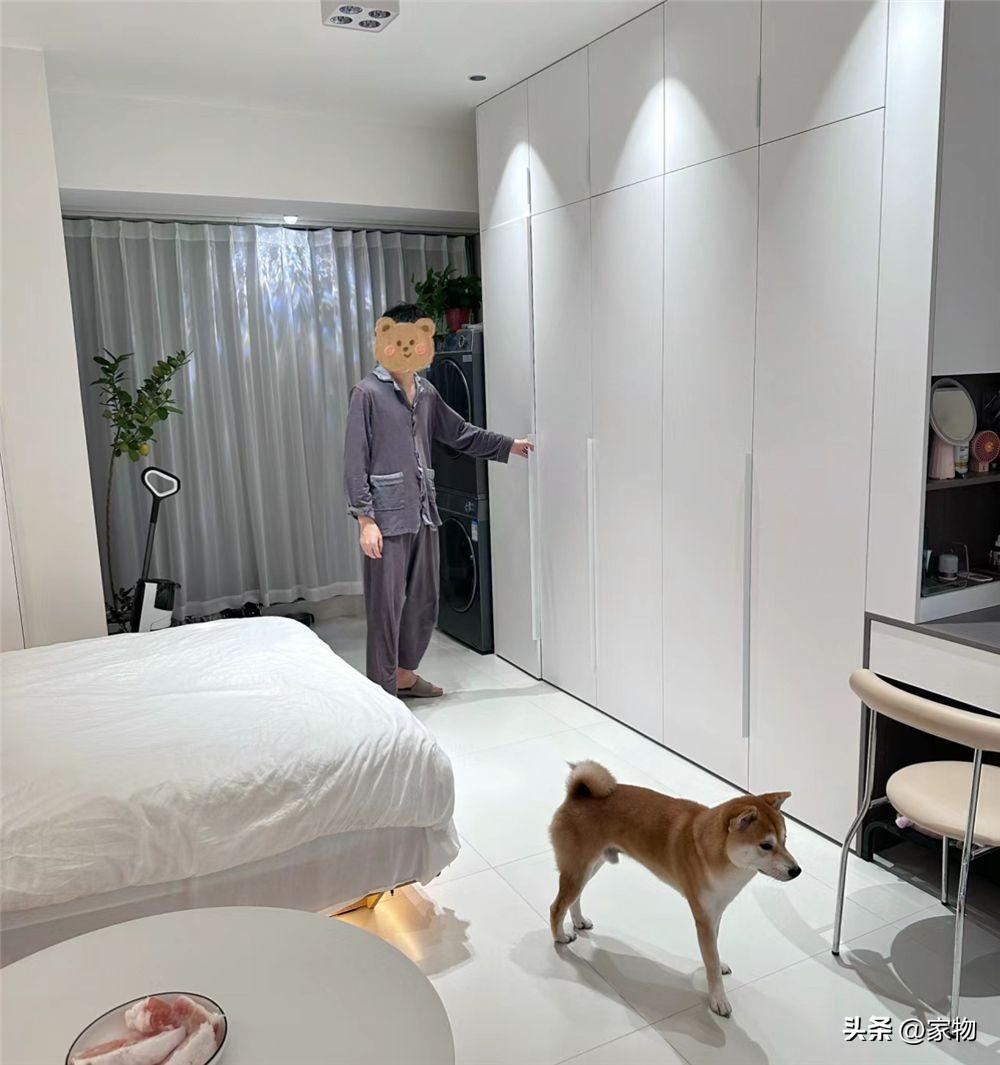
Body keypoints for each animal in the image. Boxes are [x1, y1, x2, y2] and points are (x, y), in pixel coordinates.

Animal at [548, 760, 801, 1018]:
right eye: (766, 845)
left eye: (785, 840)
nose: (797, 870)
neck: (718, 856)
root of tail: (576, 795)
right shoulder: (703, 917)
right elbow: (710, 959)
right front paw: (718, 998)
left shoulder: (716, 911)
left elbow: (715, 948)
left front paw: (719, 966)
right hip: (579, 869)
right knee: (557, 906)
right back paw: (560, 937)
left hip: (590, 867)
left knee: (574, 898)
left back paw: (578, 921)